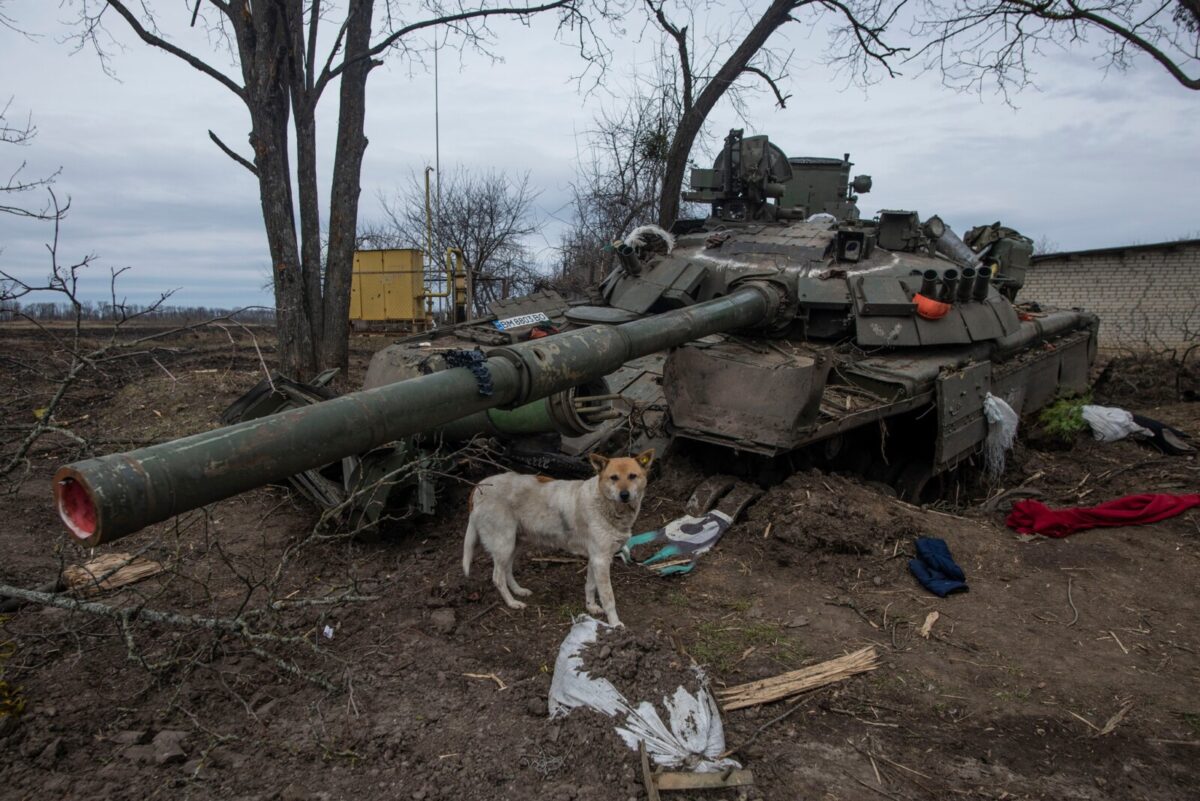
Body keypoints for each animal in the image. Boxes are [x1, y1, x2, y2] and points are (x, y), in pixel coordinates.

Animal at [460, 450, 652, 623]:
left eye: (632, 476)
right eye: (614, 478)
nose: (624, 495)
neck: (606, 504)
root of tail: (478, 487)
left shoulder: (596, 558)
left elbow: (590, 586)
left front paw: (591, 607)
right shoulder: (601, 560)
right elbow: (608, 598)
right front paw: (615, 624)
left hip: (514, 544)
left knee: (507, 570)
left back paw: (519, 591)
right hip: (504, 545)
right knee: (497, 577)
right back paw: (512, 603)